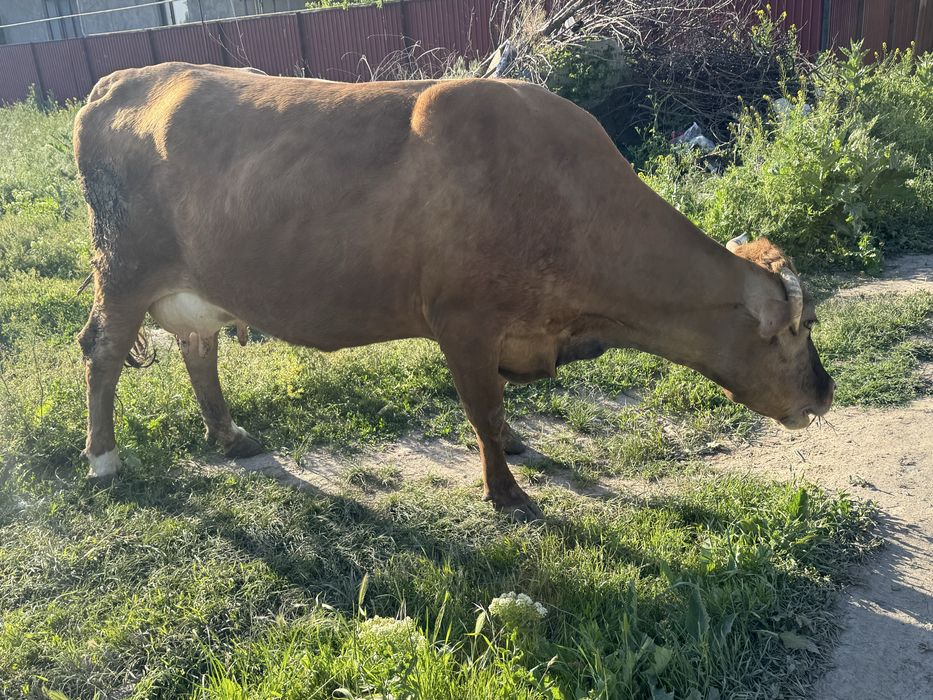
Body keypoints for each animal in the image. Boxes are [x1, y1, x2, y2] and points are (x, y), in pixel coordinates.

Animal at [74, 63, 834, 520]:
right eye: (797, 333)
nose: (824, 394)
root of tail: (120, 80)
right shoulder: (463, 322)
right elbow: (483, 411)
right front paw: (507, 493)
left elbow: (500, 413)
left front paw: (520, 446)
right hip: (123, 269)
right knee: (102, 352)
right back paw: (103, 459)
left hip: (191, 281)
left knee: (197, 346)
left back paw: (229, 435)